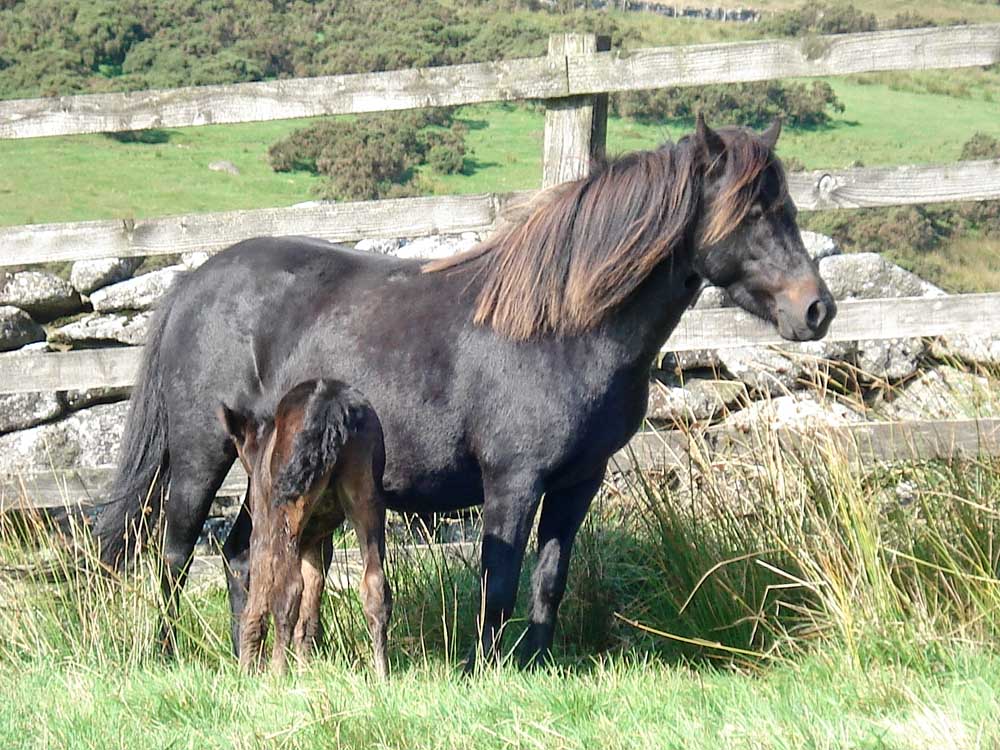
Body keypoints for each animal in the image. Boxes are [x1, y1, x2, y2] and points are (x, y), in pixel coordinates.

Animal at [217, 379, 391, 678]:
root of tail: (332, 405)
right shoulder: (318, 540)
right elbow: (310, 609)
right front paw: (306, 670)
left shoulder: (262, 529)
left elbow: (259, 597)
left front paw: (247, 670)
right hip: (366, 498)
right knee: (375, 584)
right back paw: (381, 674)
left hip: (287, 508)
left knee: (287, 590)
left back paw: (277, 672)